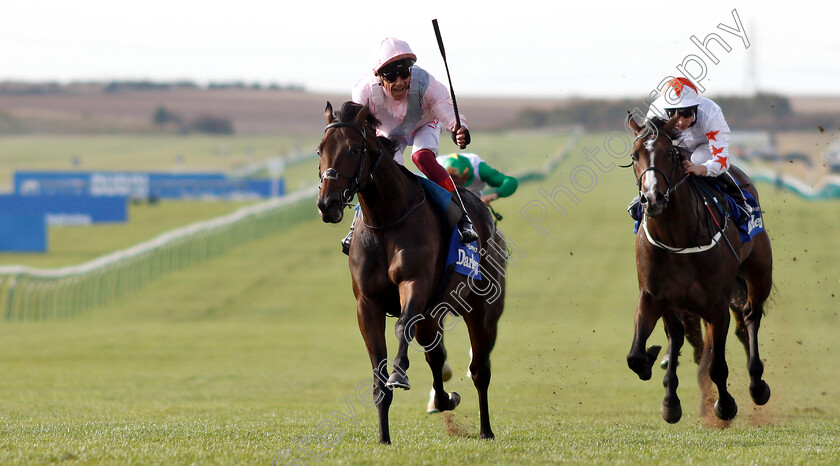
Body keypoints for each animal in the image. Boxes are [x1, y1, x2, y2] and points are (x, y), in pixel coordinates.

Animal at [316, 102, 506, 444]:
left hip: (482, 309)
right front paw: (383, 437)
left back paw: (486, 430)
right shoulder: (368, 304)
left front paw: (399, 374)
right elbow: (378, 371)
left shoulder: (414, 284)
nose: (328, 203)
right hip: (433, 314)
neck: (386, 220)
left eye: (353, 149)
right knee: (435, 355)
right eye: (319, 150)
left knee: (479, 369)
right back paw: (445, 400)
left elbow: (402, 325)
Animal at [624, 112, 776, 422]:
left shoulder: (716, 304)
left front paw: (725, 405)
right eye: (635, 155)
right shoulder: (654, 297)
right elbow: (636, 355)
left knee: (750, 317)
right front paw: (663, 387)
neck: (678, 239)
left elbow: (717, 365)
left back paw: (757, 384)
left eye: (670, 153)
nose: (652, 199)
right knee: (684, 335)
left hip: (758, 274)